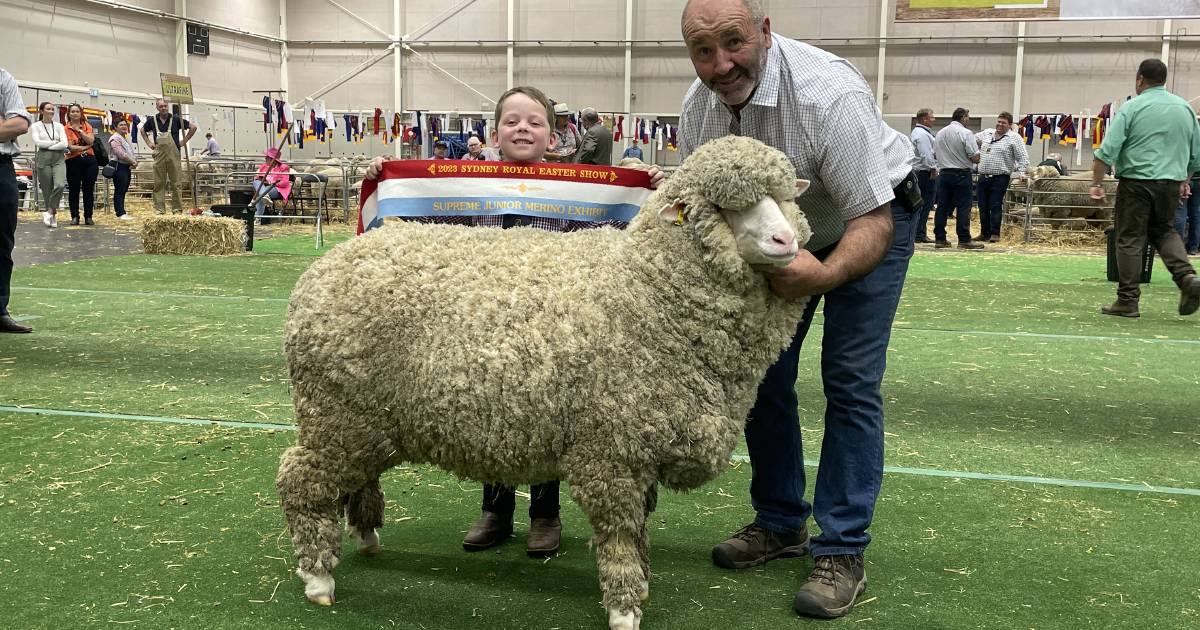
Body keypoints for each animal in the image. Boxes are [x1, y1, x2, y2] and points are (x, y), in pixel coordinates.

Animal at [276, 133, 811, 628]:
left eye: (782, 196)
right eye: (722, 206)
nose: (786, 242)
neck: (648, 286)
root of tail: (329, 264)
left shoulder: (641, 447)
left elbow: (639, 528)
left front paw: (641, 583)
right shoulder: (611, 450)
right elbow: (621, 533)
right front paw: (624, 607)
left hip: (367, 420)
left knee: (357, 476)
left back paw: (366, 537)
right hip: (334, 413)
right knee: (300, 479)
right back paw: (318, 578)